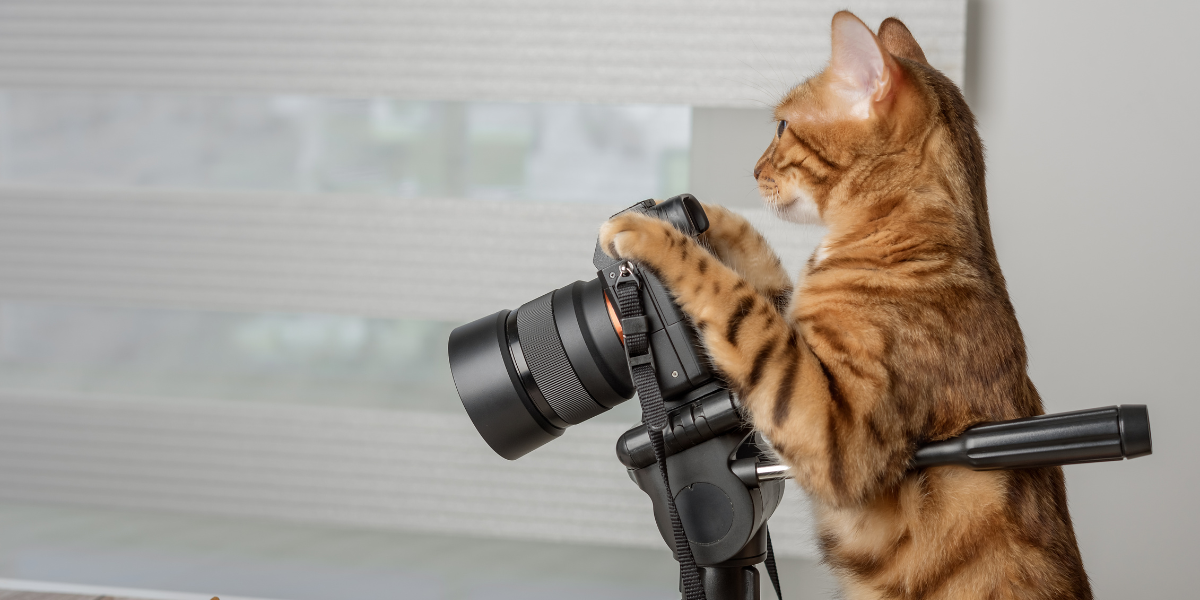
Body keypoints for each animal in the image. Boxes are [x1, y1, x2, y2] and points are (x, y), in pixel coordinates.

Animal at [600, 10, 1089, 600]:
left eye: (781, 128)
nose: (754, 170)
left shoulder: (829, 427)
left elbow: (732, 299)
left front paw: (652, 232)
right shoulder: (795, 325)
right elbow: (762, 274)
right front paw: (703, 214)